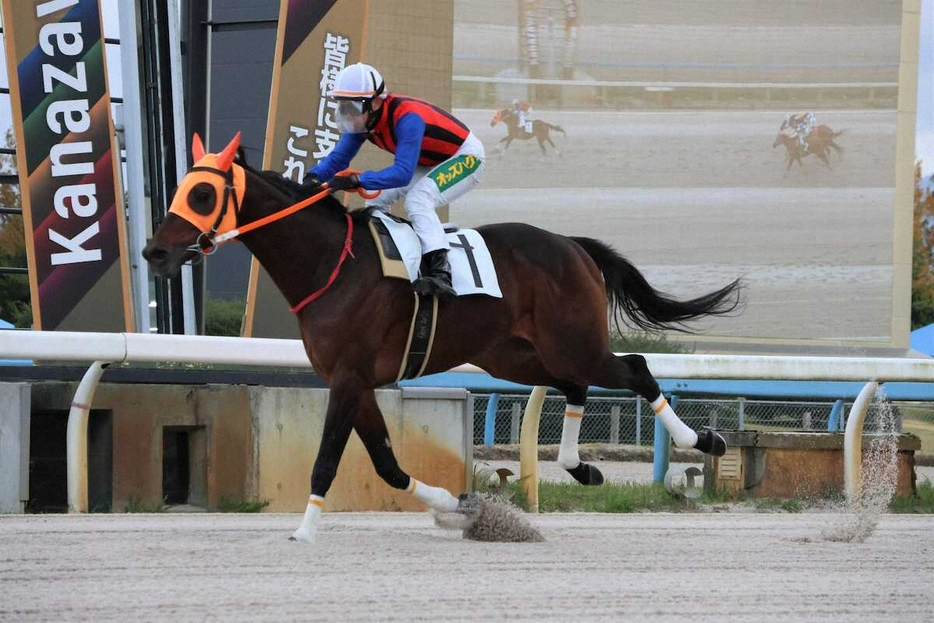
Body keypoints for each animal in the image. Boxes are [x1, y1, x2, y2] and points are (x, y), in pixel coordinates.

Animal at [143, 134, 744, 544]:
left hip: (573, 342)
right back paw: (582, 467)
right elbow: (387, 464)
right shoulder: (355, 381)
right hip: (515, 354)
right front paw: (455, 504)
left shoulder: (349, 377)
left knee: (635, 367)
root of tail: (571, 245)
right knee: (574, 385)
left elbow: (328, 458)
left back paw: (704, 441)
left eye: (202, 193)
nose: (154, 252)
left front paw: (304, 531)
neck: (333, 265)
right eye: (180, 188)